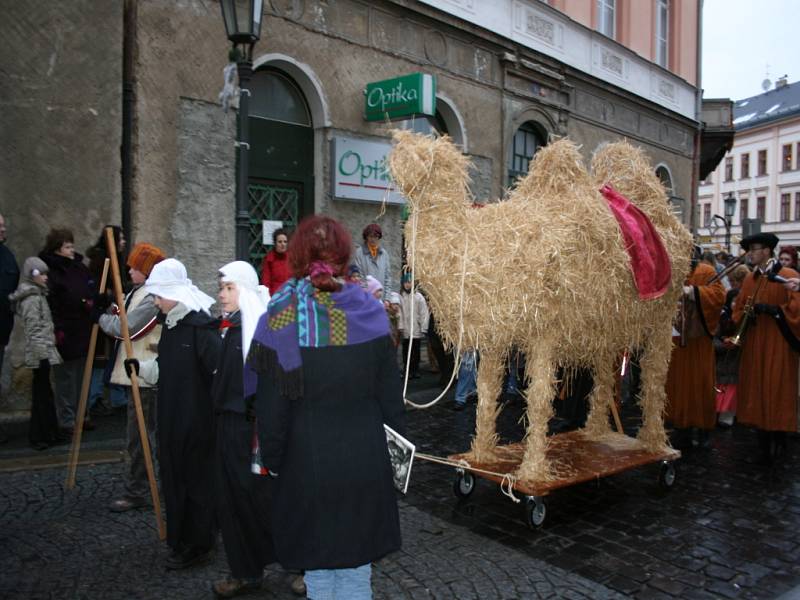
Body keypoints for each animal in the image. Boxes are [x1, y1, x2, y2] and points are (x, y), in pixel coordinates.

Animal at [390, 130, 692, 482]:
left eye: (423, 153)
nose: (397, 147)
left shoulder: (544, 333)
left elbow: (537, 400)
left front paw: (532, 473)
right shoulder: (496, 335)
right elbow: (487, 393)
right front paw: (481, 457)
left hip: (662, 317)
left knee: (655, 377)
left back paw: (656, 446)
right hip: (606, 321)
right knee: (604, 373)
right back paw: (596, 433)